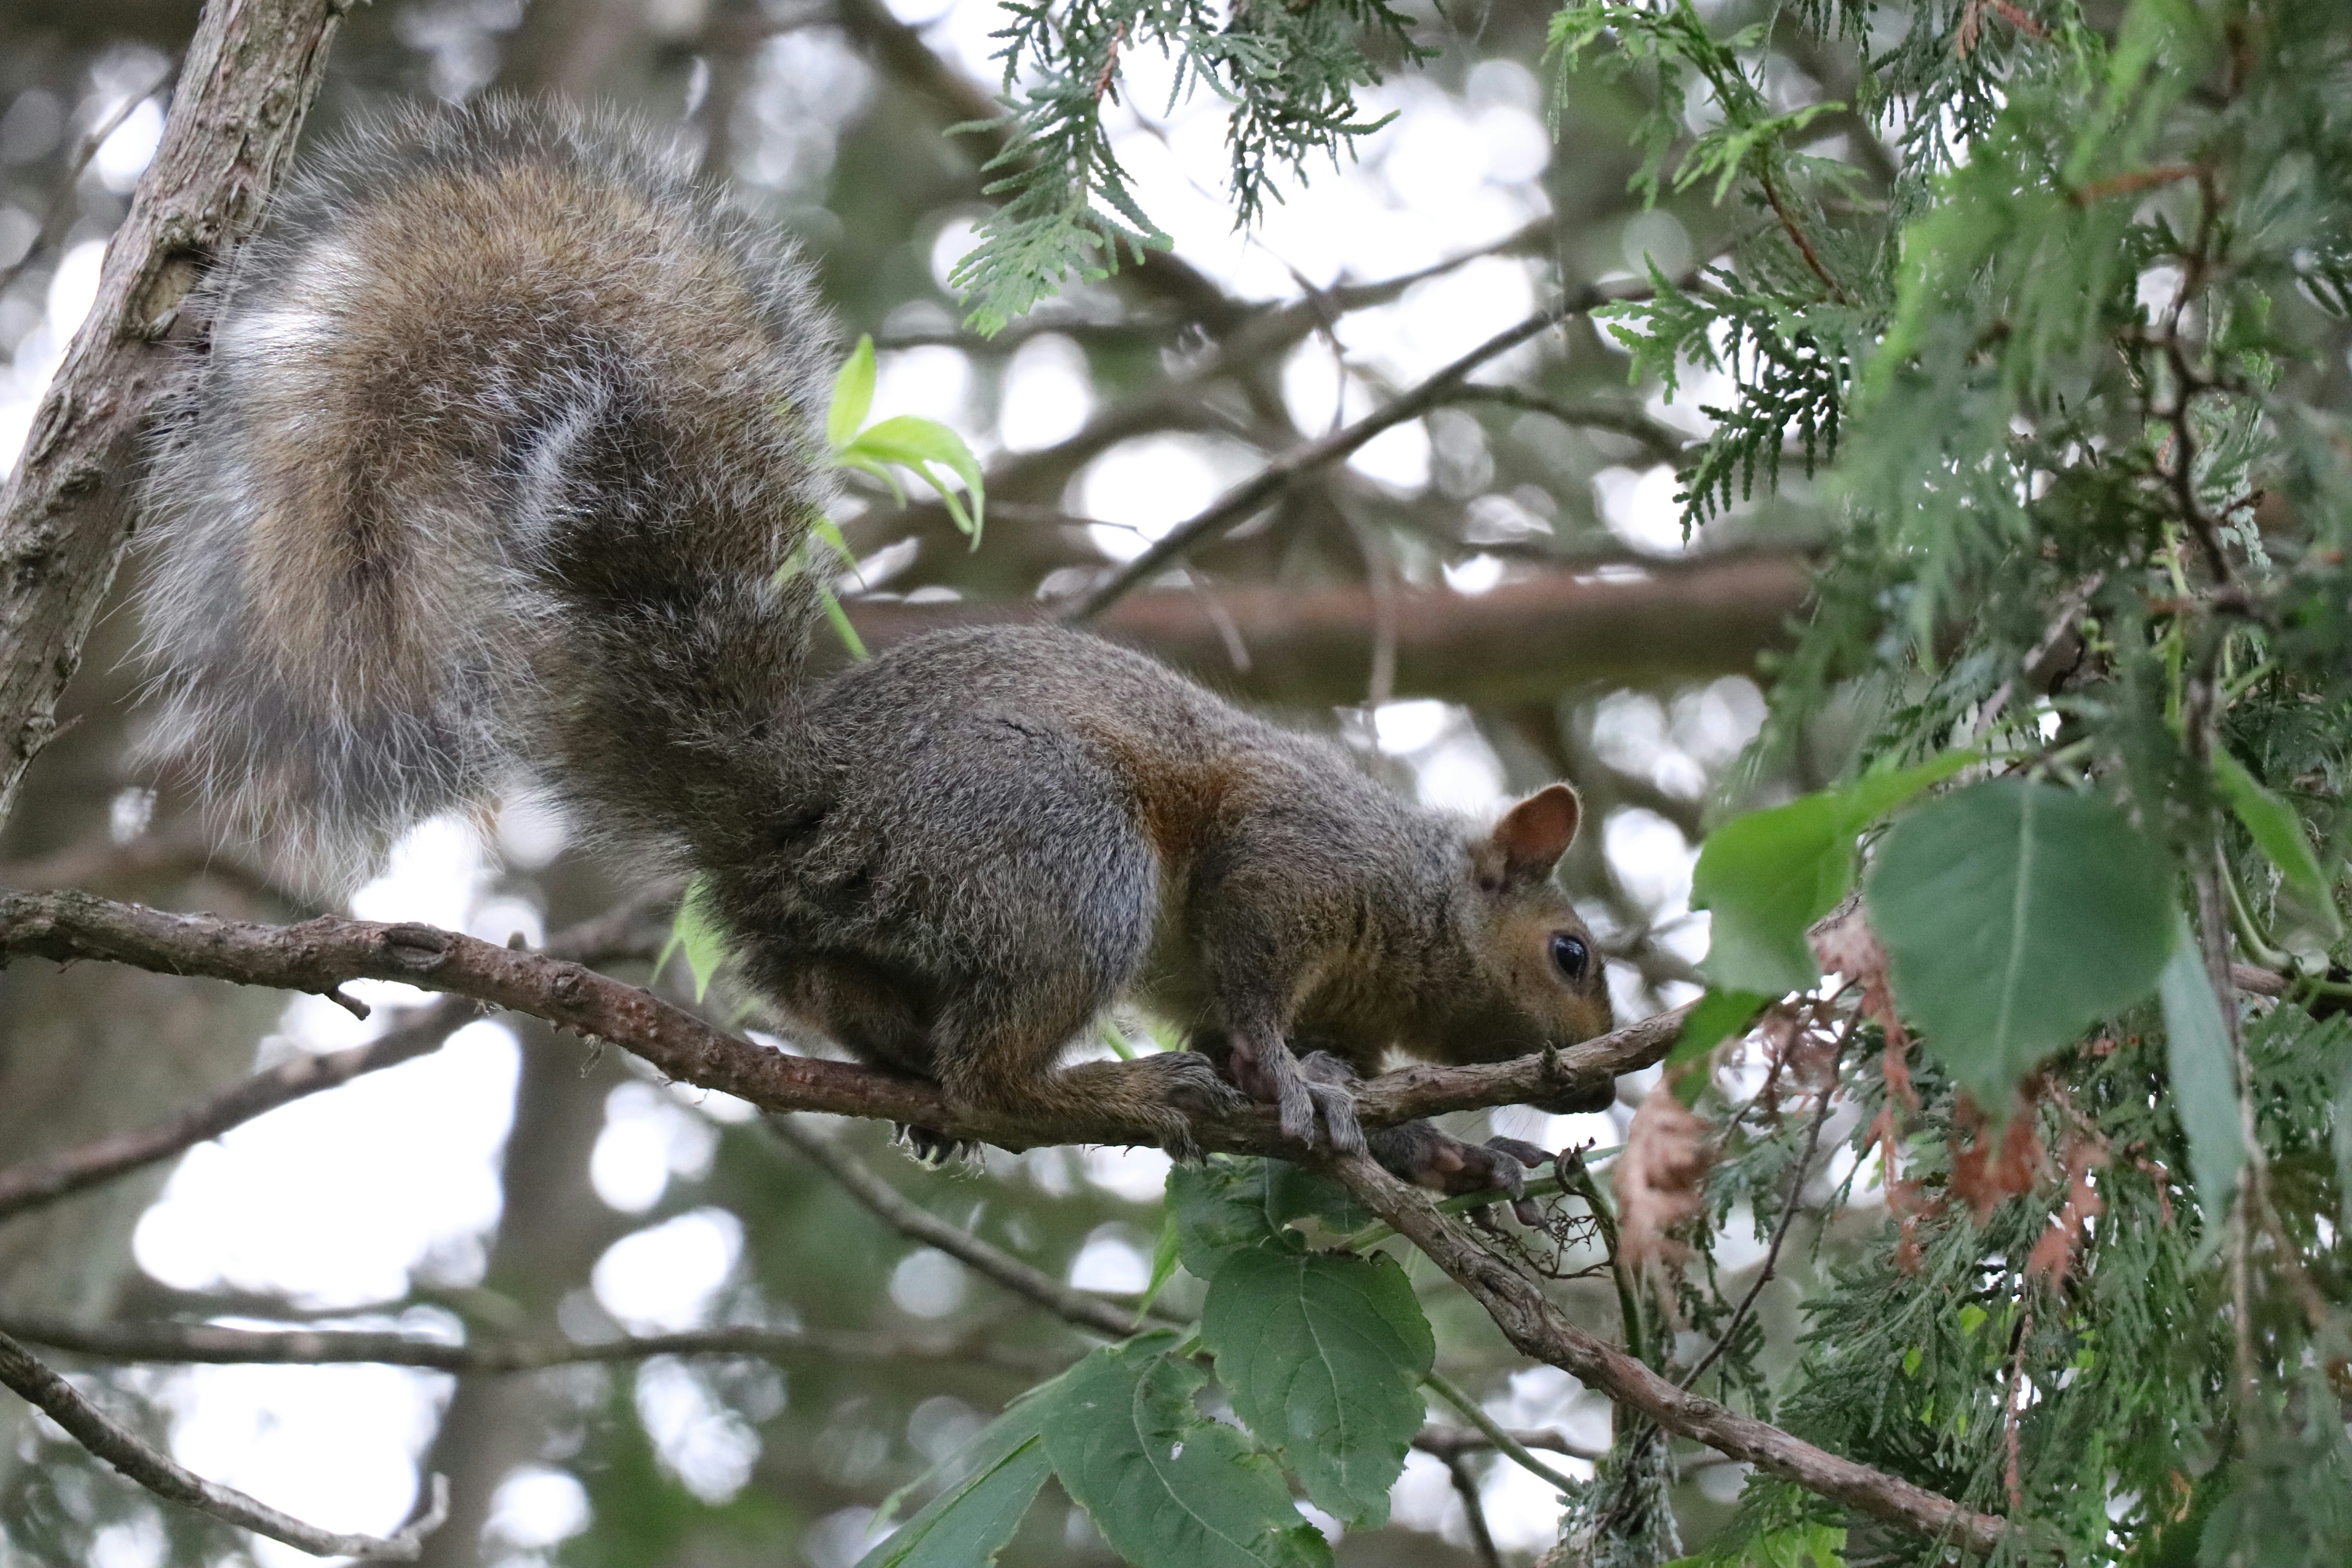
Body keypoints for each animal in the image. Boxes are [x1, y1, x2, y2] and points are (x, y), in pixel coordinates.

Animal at [136, 99, 1617, 1195]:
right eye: (1571, 955)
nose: (1601, 1073)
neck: (1416, 913)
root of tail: (790, 799)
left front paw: (1445, 1150)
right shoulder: (1298, 863)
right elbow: (1253, 980)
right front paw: (1303, 1086)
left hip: (856, 944)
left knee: (883, 1020)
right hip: (1069, 856)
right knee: (994, 1069)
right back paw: (1107, 1082)